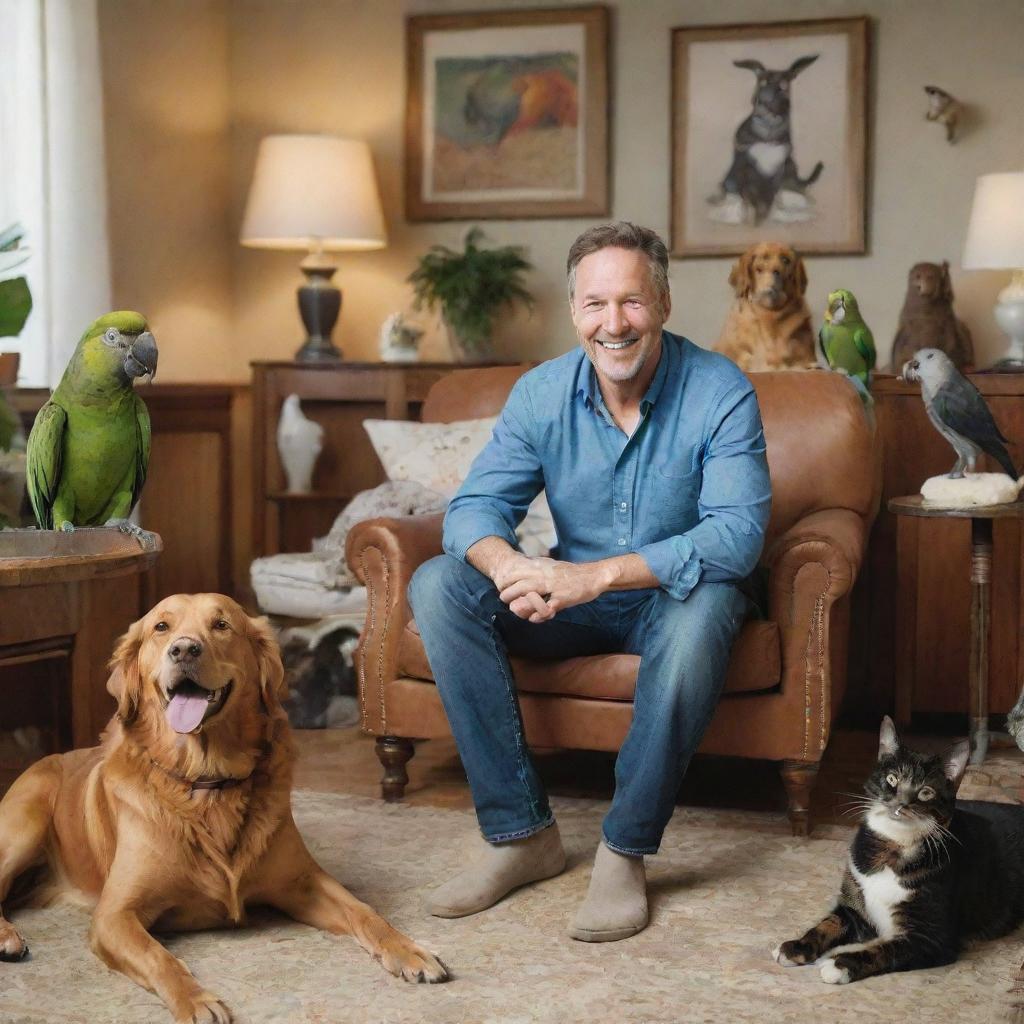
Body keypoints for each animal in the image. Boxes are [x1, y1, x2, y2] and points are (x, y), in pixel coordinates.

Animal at [0, 598, 448, 1019]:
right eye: (161, 627)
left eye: (221, 625)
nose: (183, 649)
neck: (205, 782)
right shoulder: (114, 916)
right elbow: (159, 958)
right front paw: (196, 1000)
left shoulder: (303, 882)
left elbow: (366, 912)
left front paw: (410, 950)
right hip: (25, 822)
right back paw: (8, 938)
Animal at [774, 712, 1024, 983]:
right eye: (892, 779)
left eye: (925, 792)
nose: (901, 803)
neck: (893, 848)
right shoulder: (854, 906)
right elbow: (828, 924)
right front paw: (796, 947)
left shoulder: (931, 938)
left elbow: (885, 950)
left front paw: (840, 963)